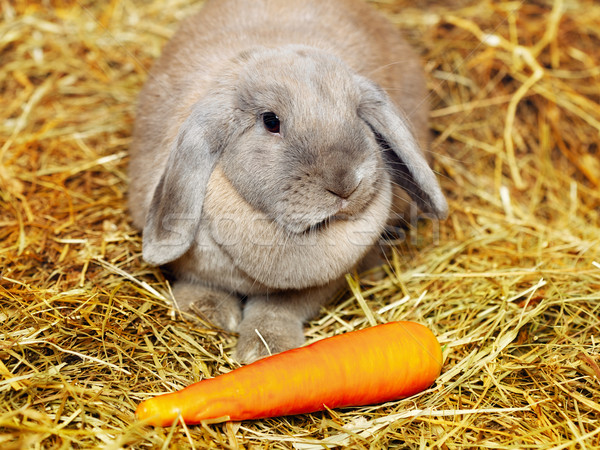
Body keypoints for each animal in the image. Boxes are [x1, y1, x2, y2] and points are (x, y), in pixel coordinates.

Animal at [129, 0, 448, 362]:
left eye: (357, 114)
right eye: (271, 121)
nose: (345, 183)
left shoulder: (316, 287)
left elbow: (279, 309)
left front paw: (264, 349)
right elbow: (200, 283)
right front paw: (206, 311)